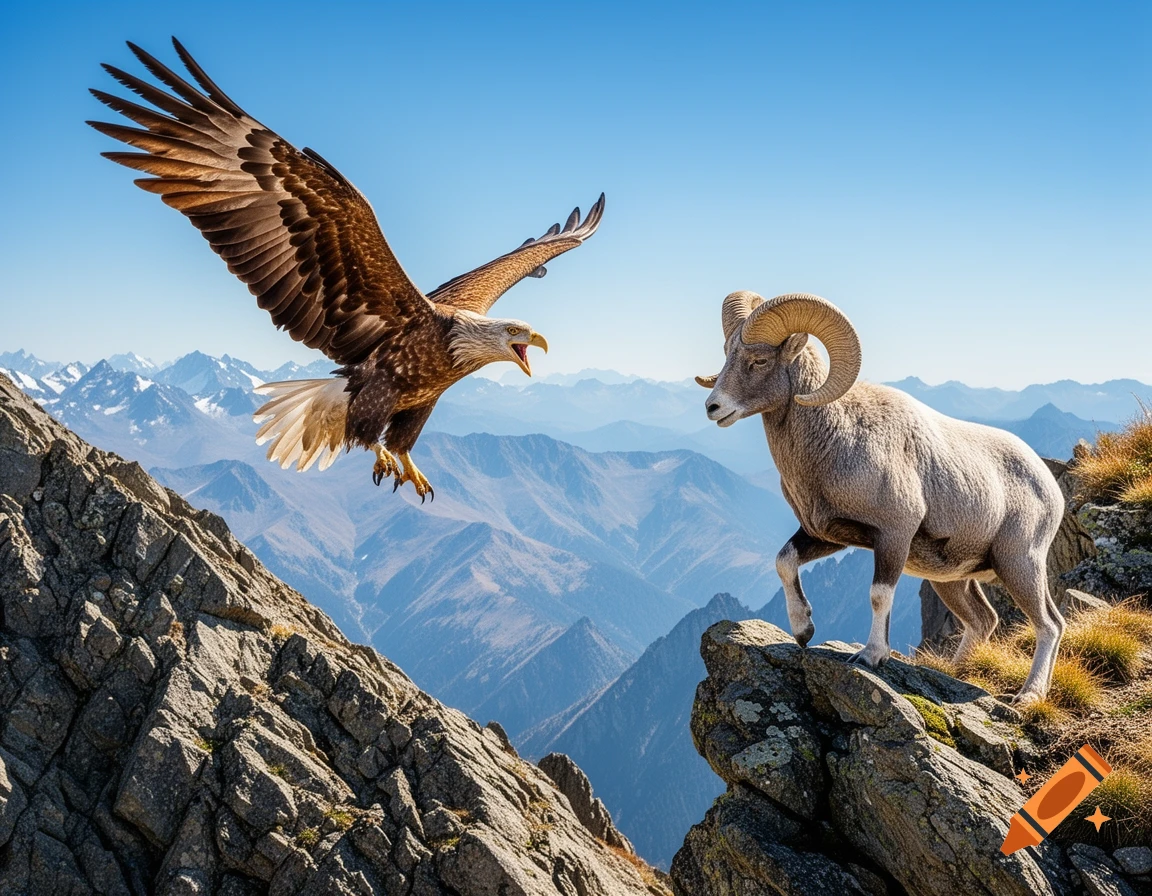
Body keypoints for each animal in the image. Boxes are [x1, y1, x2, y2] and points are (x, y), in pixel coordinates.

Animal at [696, 291, 1065, 705]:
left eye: (759, 360)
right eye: (727, 353)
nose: (713, 407)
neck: (837, 440)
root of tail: (1048, 484)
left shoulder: (893, 536)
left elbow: (878, 595)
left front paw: (871, 656)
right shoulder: (829, 535)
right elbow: (784, 561)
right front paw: (804, 630)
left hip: (1019, 564)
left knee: (1050, 625)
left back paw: (1029, 696)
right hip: (952, 580)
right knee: (984, 621)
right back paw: (956, 673)